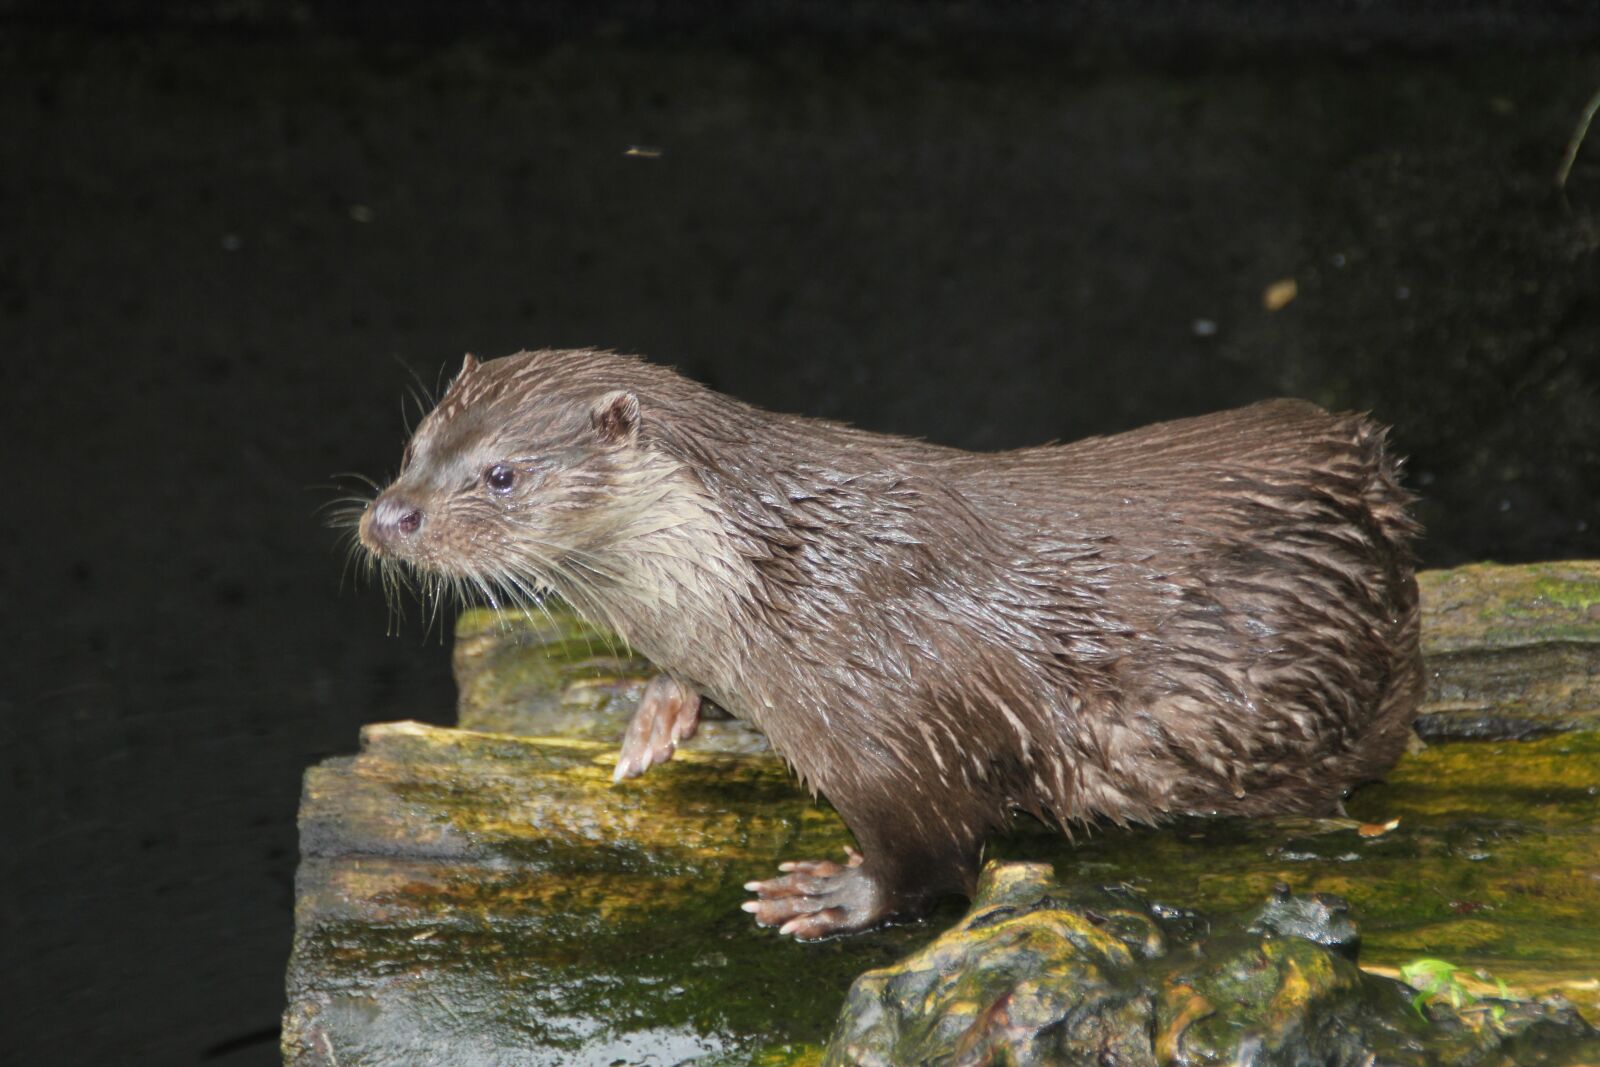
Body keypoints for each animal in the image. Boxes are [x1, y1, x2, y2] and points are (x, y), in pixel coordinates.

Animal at [357, 349, 1421, 940]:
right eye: (413, 447)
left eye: (501, 474)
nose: (389, 516)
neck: (773, 579)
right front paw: (660, 704)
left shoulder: (894, 722)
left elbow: (934, 852)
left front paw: (833, 896)